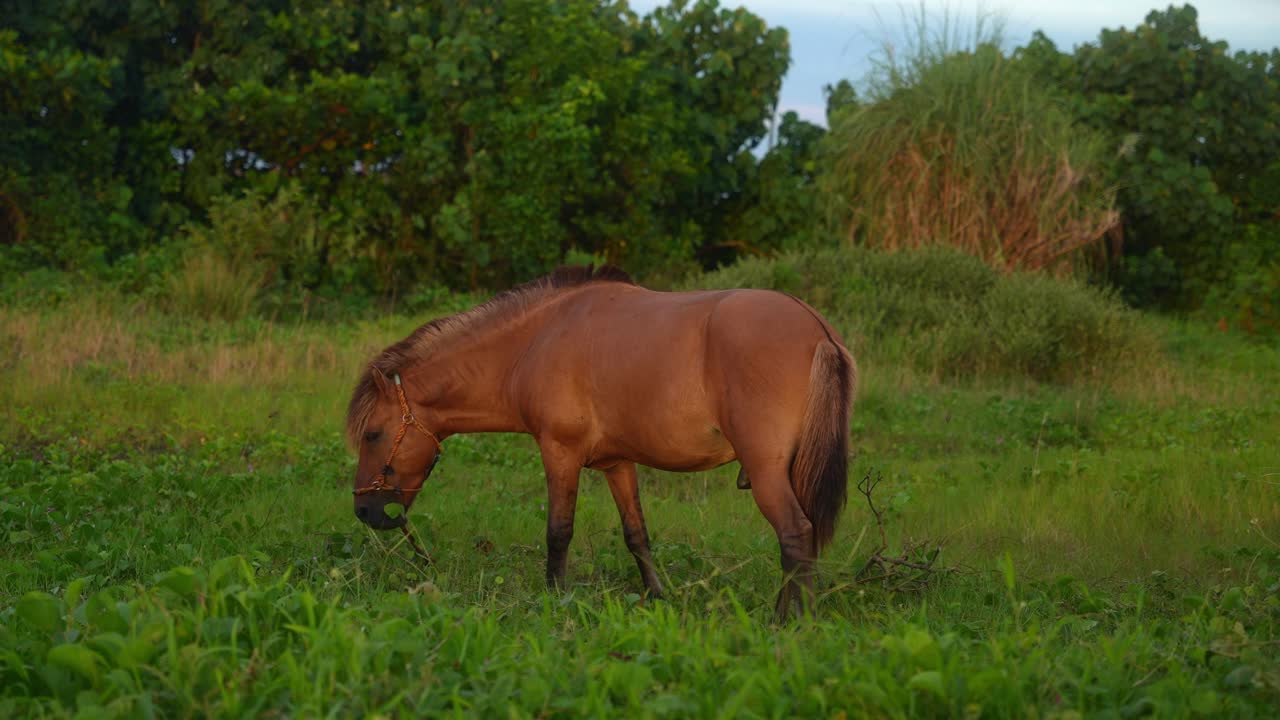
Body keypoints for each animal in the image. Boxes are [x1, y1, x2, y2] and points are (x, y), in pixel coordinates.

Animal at [346, 265, 856, 618]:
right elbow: (637, 535)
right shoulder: (617, 464)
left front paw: (555, 598)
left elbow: (558, 532)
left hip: (768, 472)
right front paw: (656, 597)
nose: (366, 511)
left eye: (373, 434)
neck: (535, 342)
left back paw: (789, 621)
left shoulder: (559, 453)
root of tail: (816, 328)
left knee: (795, 534)